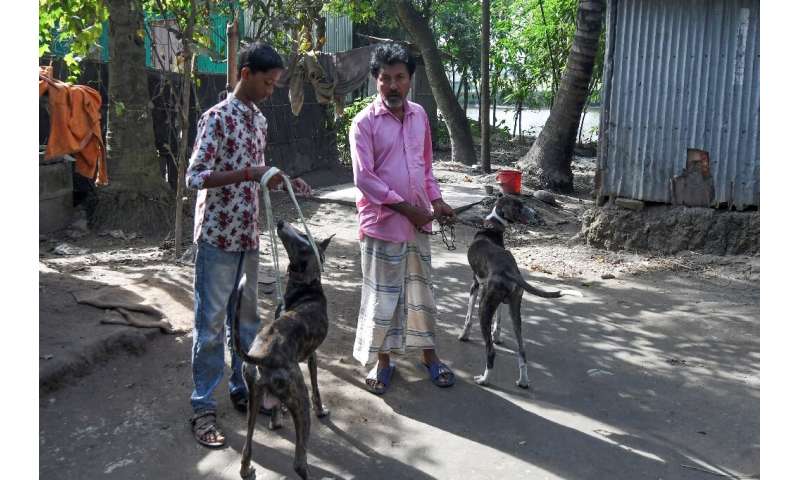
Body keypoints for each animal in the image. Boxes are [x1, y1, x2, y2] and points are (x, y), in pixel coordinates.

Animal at [231, 221, 334, 480]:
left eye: (302, 235)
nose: (279, 223)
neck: (305, 287)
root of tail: (261, 356)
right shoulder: (312, 357)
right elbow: (317, 388)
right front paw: (322, 410)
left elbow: (277, 409)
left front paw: (276, 420)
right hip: (300, 399)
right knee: (299, 462)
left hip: (253, 400)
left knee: (247, 448)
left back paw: (247, 469)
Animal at [460, 194, 572, 386]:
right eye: (520, 206)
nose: (535, 214)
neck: (491, 229)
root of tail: (510, 269)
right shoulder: (498, 301)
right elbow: (498, 320)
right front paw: (497, 336)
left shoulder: (475, 285)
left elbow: (468, 316)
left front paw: (464, 335)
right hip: (514, 311)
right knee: (522, 350)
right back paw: (523, 381)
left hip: (484, 308)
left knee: (490, 351)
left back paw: (484, 379)